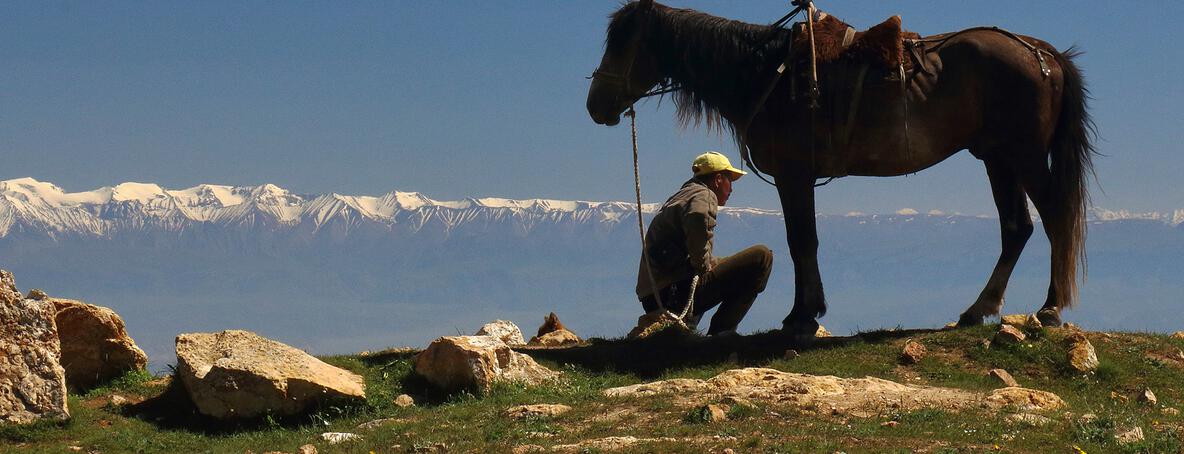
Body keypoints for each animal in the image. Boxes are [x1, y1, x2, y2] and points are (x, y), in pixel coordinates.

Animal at [587, 0, 1094, 336]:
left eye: (623, 44)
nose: (595, 105)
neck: (766, 76)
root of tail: (1043, 53)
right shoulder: (797, 179)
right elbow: (804, 242)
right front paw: (809, 310)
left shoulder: (793, 177)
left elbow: (801, 242)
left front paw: (801, 315)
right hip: (997, 158)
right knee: (1017, 227)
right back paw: (977, 309)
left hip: (1024, 155)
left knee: (1054, 218)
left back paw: (1049, 309)